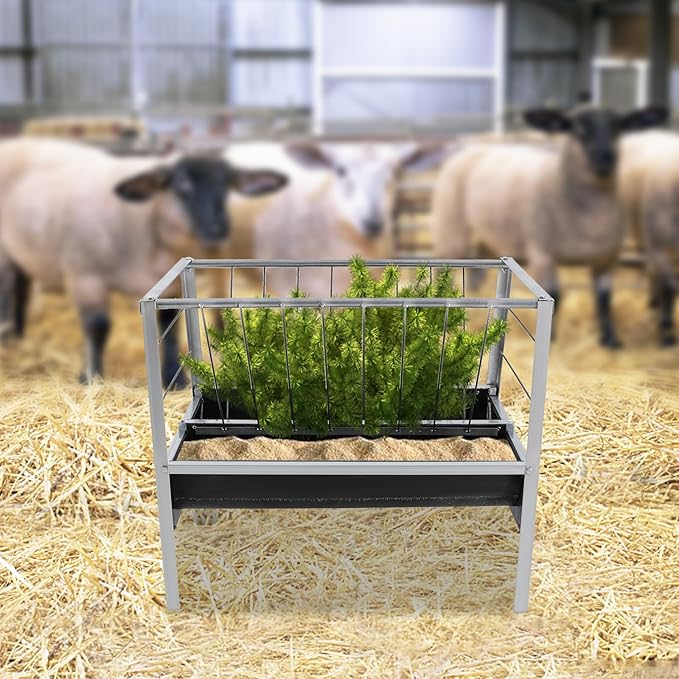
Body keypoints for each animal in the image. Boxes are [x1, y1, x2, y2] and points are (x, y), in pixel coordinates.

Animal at [0, 137, 288, 383]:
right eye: (181, 183)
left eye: (227, 184)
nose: (219, 230)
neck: (149, 221)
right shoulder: (84, 274)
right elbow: (98, 326)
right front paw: (91, 377)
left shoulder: (168, 284)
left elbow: (169, 327)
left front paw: (175, 379)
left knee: (22, 288)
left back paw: (19, 333)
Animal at [432, 105, 667, 347]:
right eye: (577, 129)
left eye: (618, 127)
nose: (606, 158)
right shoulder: (542, 253)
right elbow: (556, 294)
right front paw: (551, 339)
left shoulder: (606, 258)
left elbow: (604, 299)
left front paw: (610, 339)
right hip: (451, 225)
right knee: (443, 265)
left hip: (490, 233)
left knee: (478, 266)